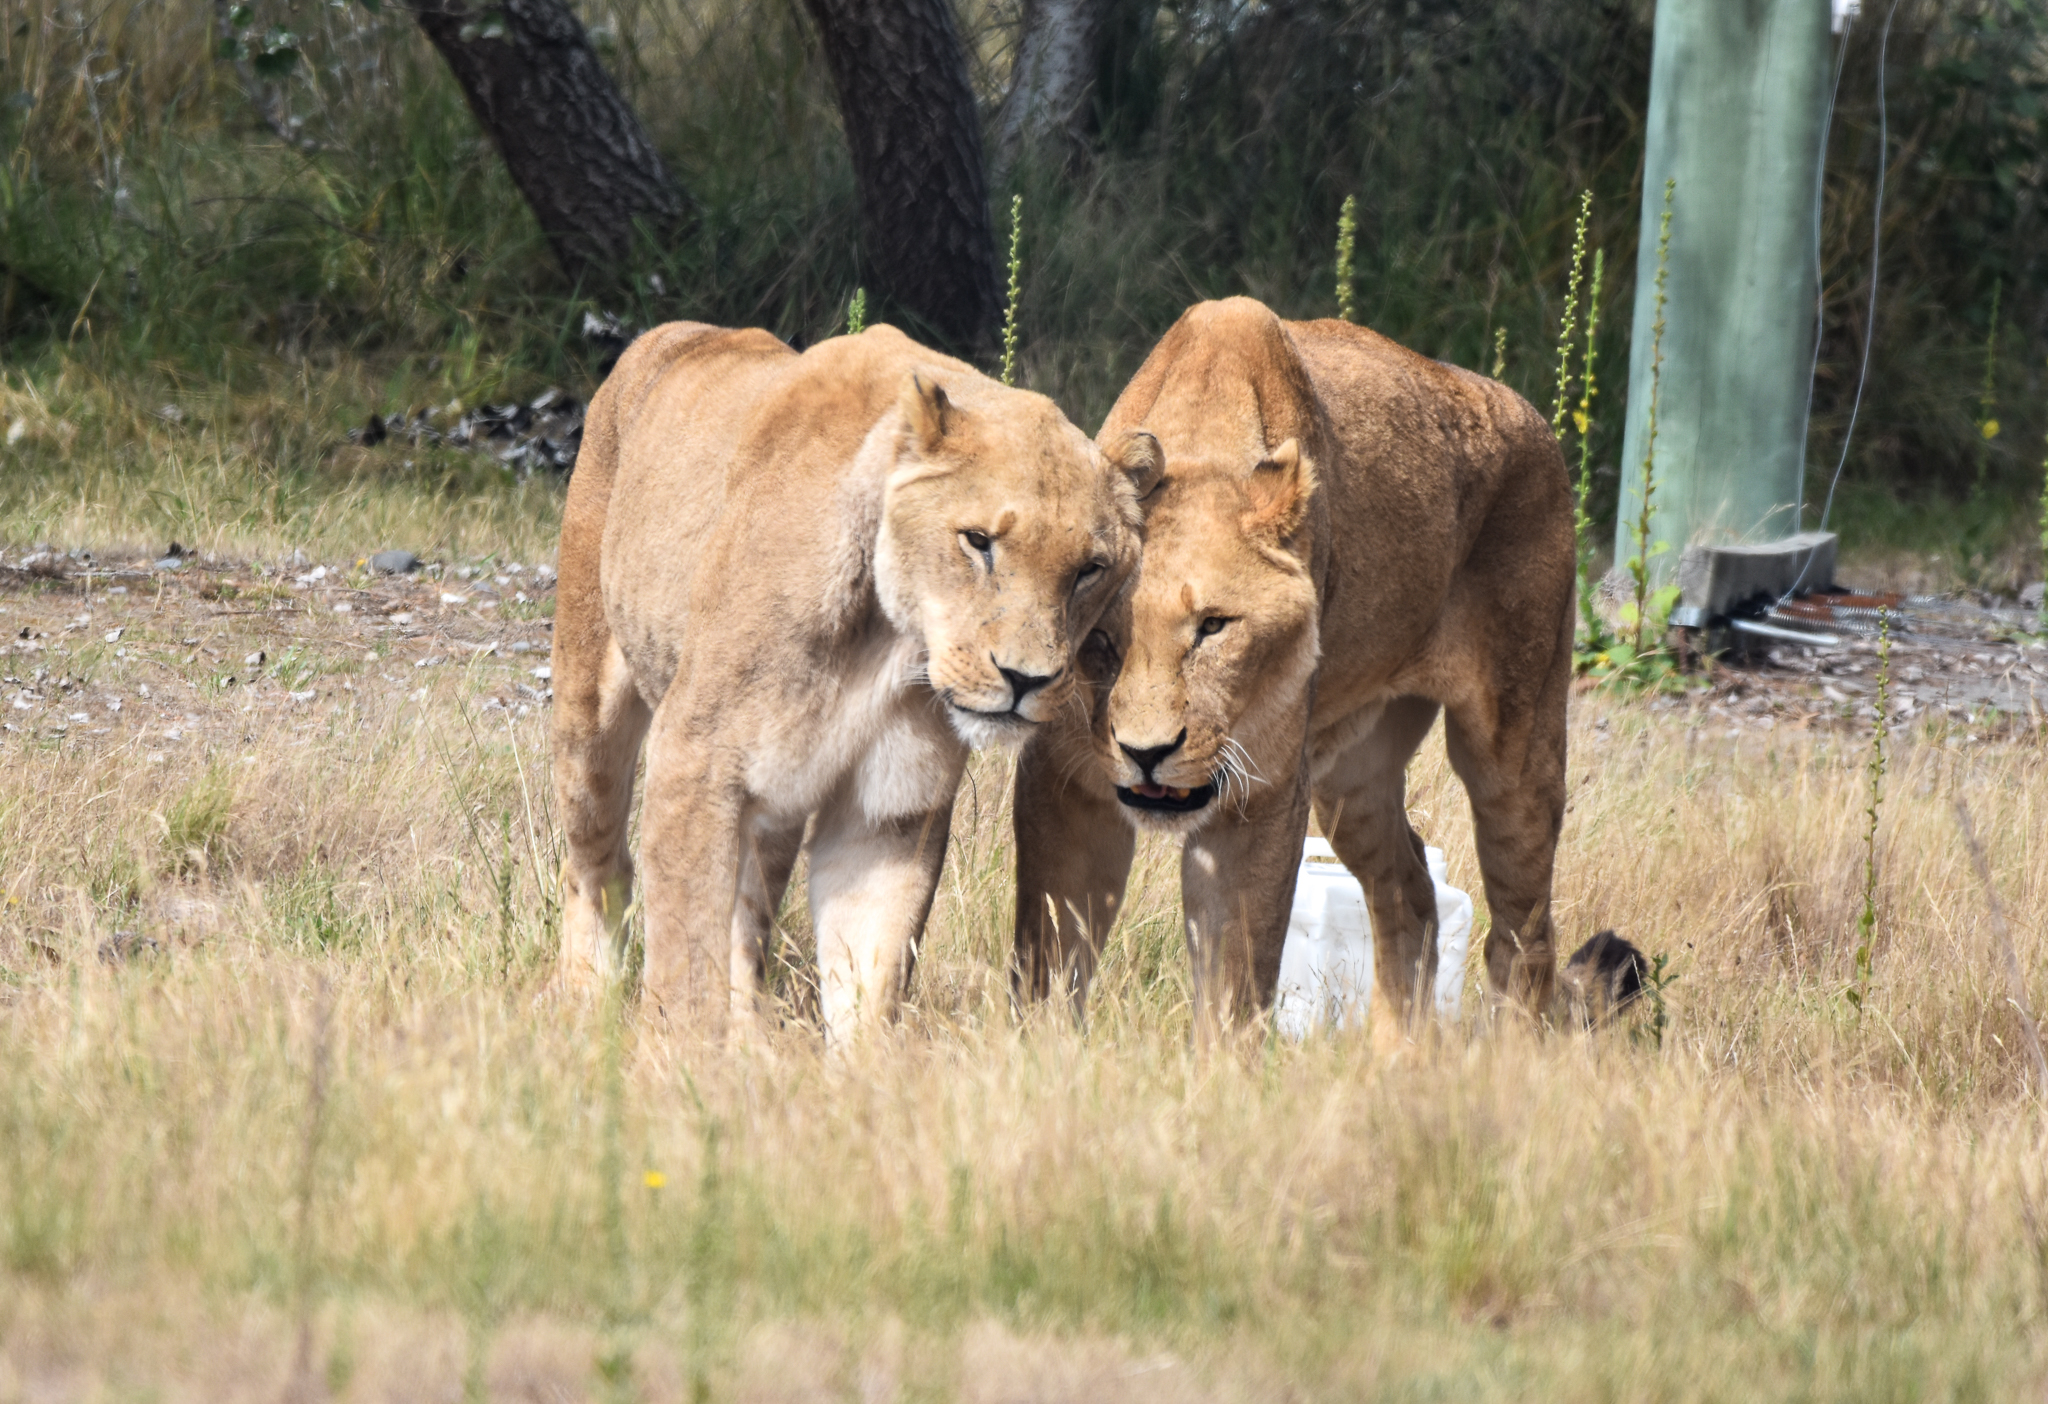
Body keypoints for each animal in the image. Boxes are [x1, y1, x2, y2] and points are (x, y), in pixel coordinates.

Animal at [554, 321, 1160, 1045]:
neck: (888, 639)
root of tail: (677, 332)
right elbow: (684, 965)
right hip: (590, 708)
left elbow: (871, 975)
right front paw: (678, 1065)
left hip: (777, 799)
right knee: (598, 865)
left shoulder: (890, 810)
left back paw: (753, 1041)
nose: (1024, 678)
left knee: (746, 918)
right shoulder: (695, 760)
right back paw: (582, 1005)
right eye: (978, 541)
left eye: (1089, 570)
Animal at [1012, 297, 1598, 1038]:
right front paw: (1040, 1049)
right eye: (1102, 641)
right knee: (1409, 890)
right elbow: (1049, 954)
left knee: (1524, 930)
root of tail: (1535, 418)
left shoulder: (1259, 798)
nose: (1147, 755)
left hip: (1516, 746)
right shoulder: (1064, 782)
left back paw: (1508, 1051)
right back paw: (1394, 1052)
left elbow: (1235, 985)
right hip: (1354, 777)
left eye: (1214, 627)